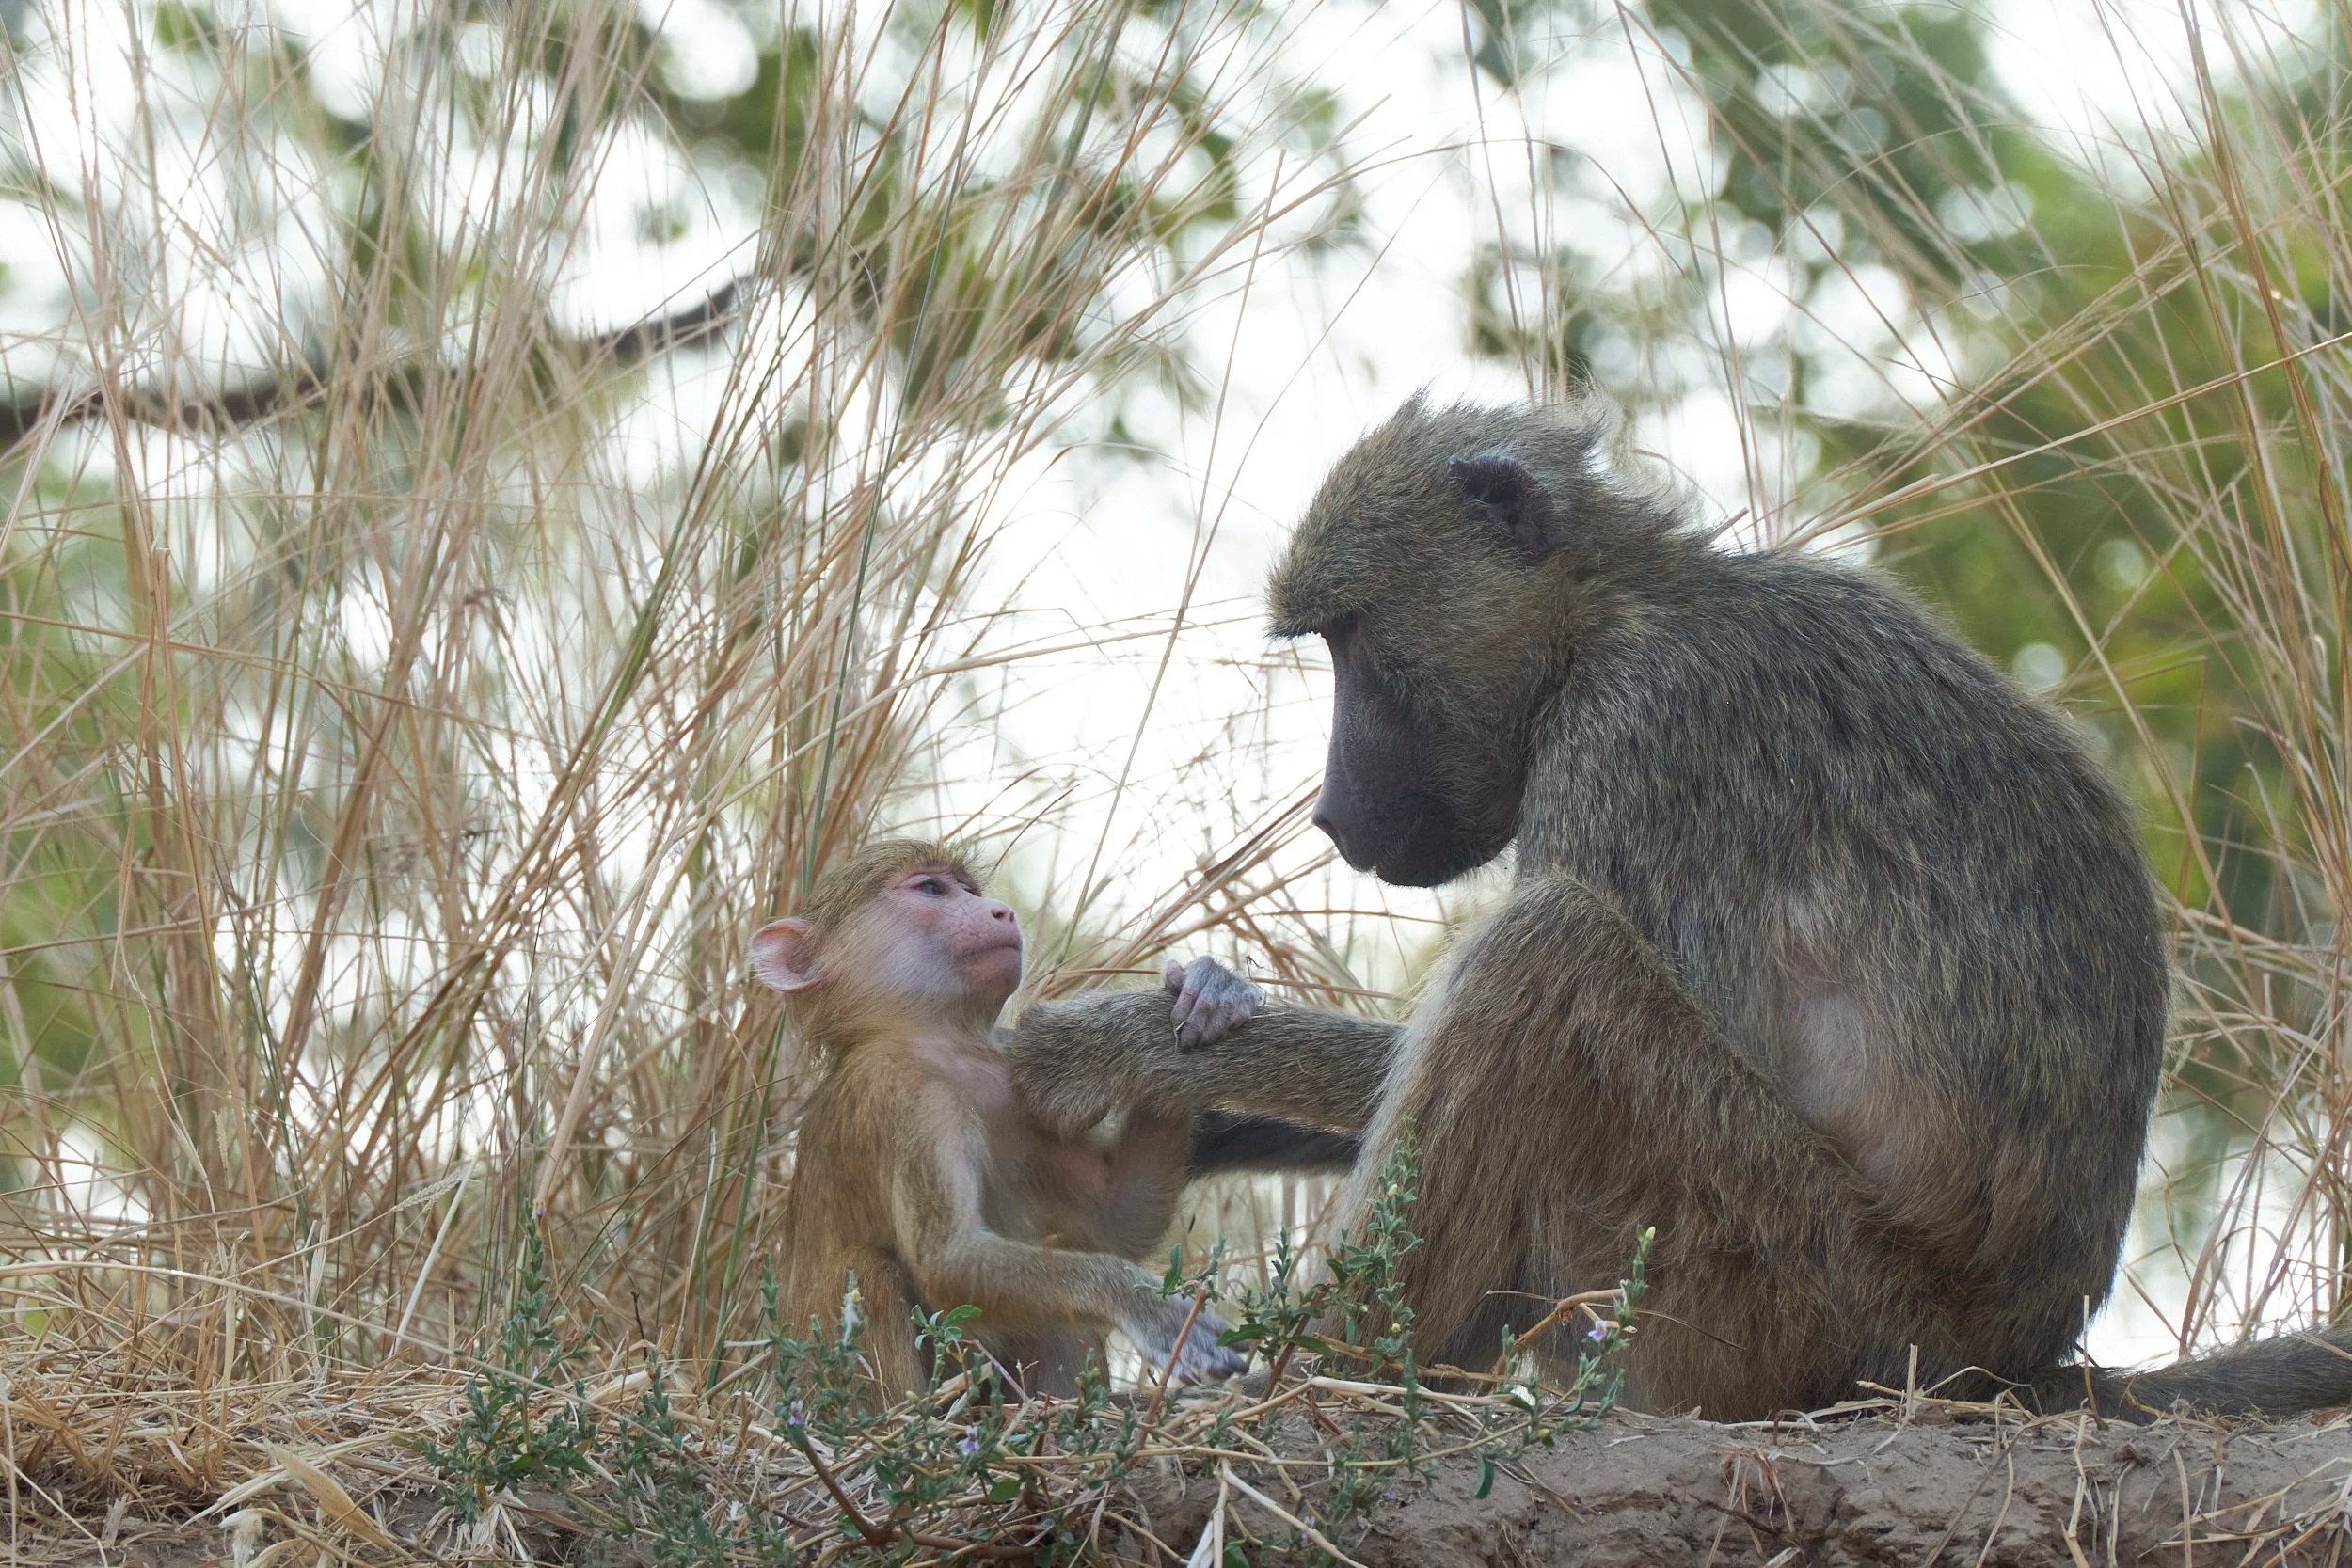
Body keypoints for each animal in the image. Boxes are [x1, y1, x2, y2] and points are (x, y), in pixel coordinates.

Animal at [752, 839, 1256, 1402]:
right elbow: (949, 1262)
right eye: (932, 889)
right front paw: (1144, 1305)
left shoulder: (1015, 1077)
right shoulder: (903, 1092)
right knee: (867, 1271)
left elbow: (1118, 1217)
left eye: (970, 890)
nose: (1002, 912)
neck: (947, 1042)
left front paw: (1207, 990)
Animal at [1007, 392, 2352, 1423]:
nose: (1334, 814)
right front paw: (1200, 1040)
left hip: (1783, 1291)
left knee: (1544, 955)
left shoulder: (1631, 742)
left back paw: (1314, 1374)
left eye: (1353, 641)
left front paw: (1100, 1046)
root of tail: (2003, 1356)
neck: (1611, 613)